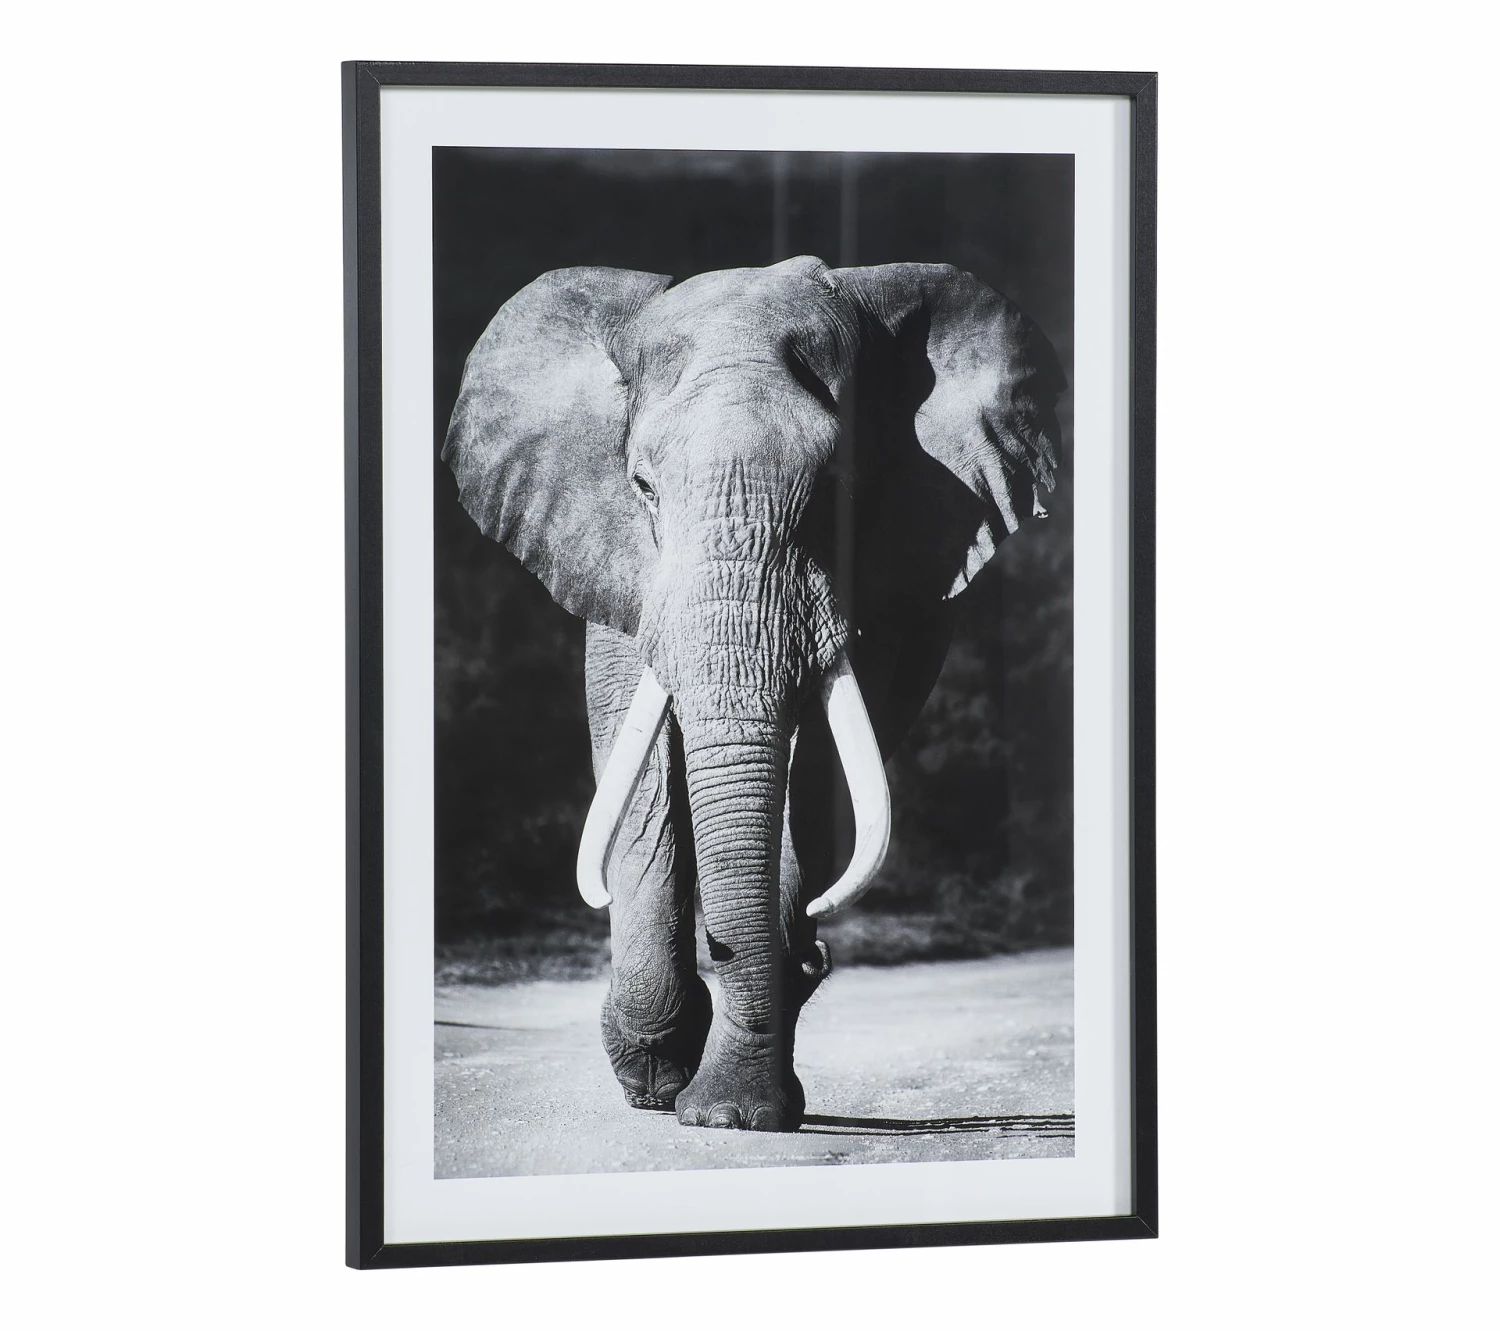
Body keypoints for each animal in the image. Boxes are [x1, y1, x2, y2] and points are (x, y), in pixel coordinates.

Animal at [442, 254, 1064, 1132]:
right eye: (642, 485)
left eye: (837, 487)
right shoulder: (616, 557)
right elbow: (640, 764)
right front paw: (662, 1078)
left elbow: (819, 770)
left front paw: (730, 1110)